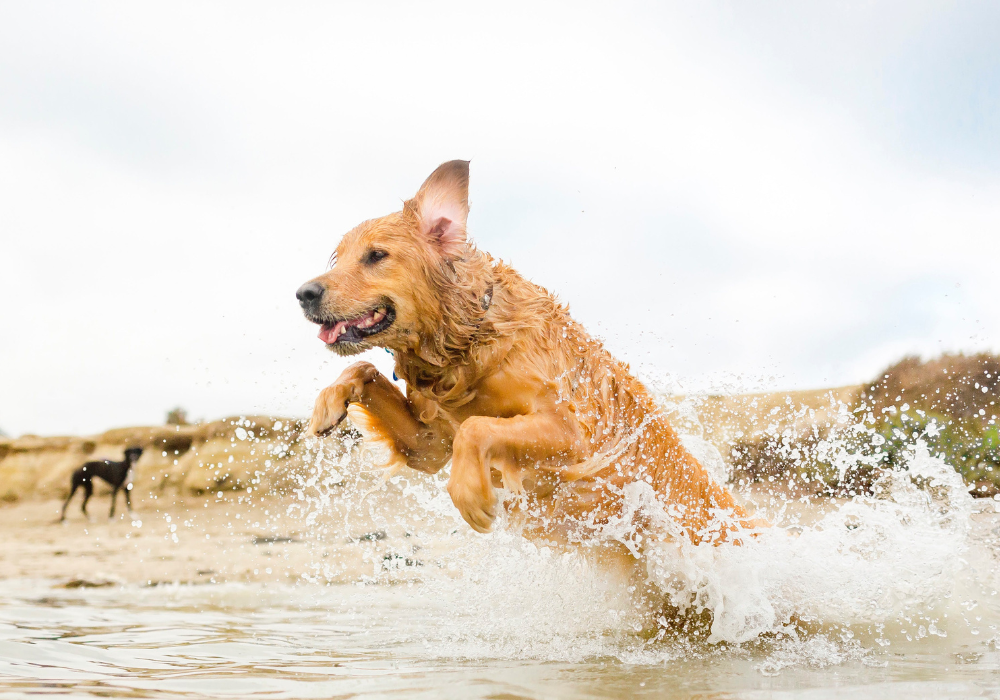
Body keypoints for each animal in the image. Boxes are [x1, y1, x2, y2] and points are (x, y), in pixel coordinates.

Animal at [296, 161, 756, 544]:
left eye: (376, 255)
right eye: (337, 258)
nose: (304, 294)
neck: (466, 344)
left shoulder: (572, 434)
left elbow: (476, 427)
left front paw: (470, 494)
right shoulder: (430, 445)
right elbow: (362, 367)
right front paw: (327, 404)